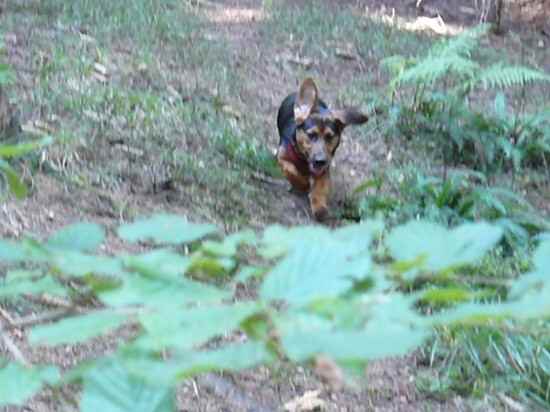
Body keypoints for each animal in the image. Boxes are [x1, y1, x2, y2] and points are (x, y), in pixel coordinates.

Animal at [276, 79, 370, 222]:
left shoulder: (323, 169)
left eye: (329, 137)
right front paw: (302, 183)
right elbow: (290, 169)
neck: (303, 159)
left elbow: (320, 187)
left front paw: (319, 206)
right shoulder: (282, 156)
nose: (320, 161)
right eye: (311, 135)